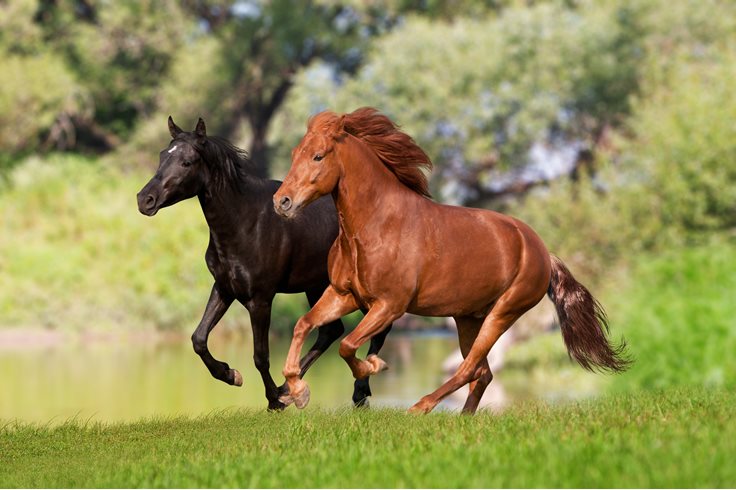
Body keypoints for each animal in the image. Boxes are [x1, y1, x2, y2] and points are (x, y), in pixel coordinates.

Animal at [136, 116, 391, 410]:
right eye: (162, 156)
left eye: (187, 162)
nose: (145, 199)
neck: (245, 223)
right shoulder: (224, 288)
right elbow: (198, 338)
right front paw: (232, 375)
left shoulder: (260, 299)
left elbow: (260, 355)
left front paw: (273, 400)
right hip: (317, 287)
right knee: (331, 331)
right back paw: (293, 390)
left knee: (378, 327)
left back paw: (357, 391)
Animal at [272, 107, 630, 414]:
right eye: (294, 154)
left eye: (318, 156)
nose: (281, 202)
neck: (375, 226)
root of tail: (542, 250)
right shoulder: (343, 295)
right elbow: (303, 324)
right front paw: (297, 392)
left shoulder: (389, 305)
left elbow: (347, 345)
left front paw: (374, 366)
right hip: (468, 318)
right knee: (482, 373)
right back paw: (463, 417)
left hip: (502, 313)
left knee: (469, 368)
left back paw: (419, 408)